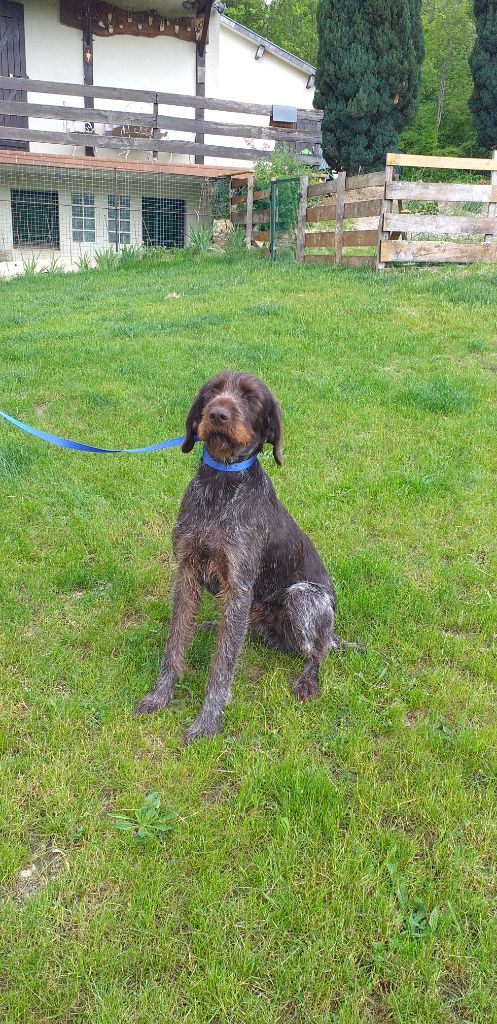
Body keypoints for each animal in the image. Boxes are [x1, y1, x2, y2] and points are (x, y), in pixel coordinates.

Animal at [134, 371, 356, 743]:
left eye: (252, 397)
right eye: (212, 390)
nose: (218, 413)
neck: (220, 482)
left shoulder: (238, 586)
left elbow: (222, 667)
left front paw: (207, 721)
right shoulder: (187, 572)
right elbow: (175, 644)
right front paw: (160, 695)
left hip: (303, 598)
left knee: (318, 650)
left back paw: (308, 679)